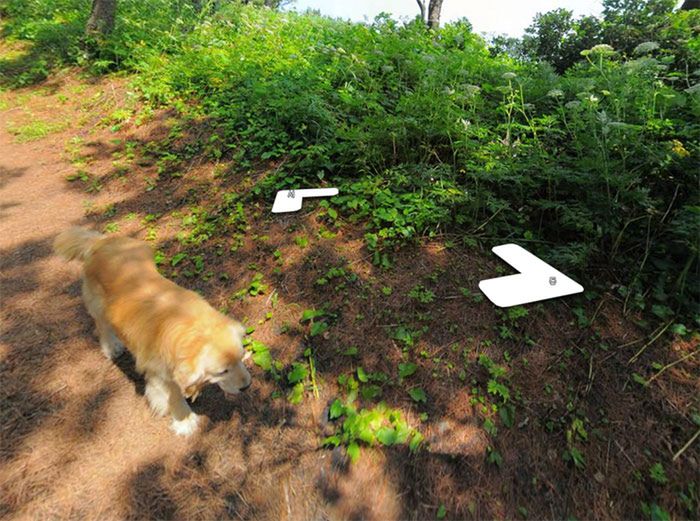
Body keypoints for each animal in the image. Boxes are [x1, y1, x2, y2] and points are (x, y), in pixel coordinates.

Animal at [55, 228, 252, 434]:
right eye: (222, 371)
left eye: (242, 357)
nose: (247, 386)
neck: (190, 327)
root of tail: (100, 242)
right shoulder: (161, 371)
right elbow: (173, 394)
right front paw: (184, 420)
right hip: (98, 306)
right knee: (102, 327)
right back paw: (112, 348)